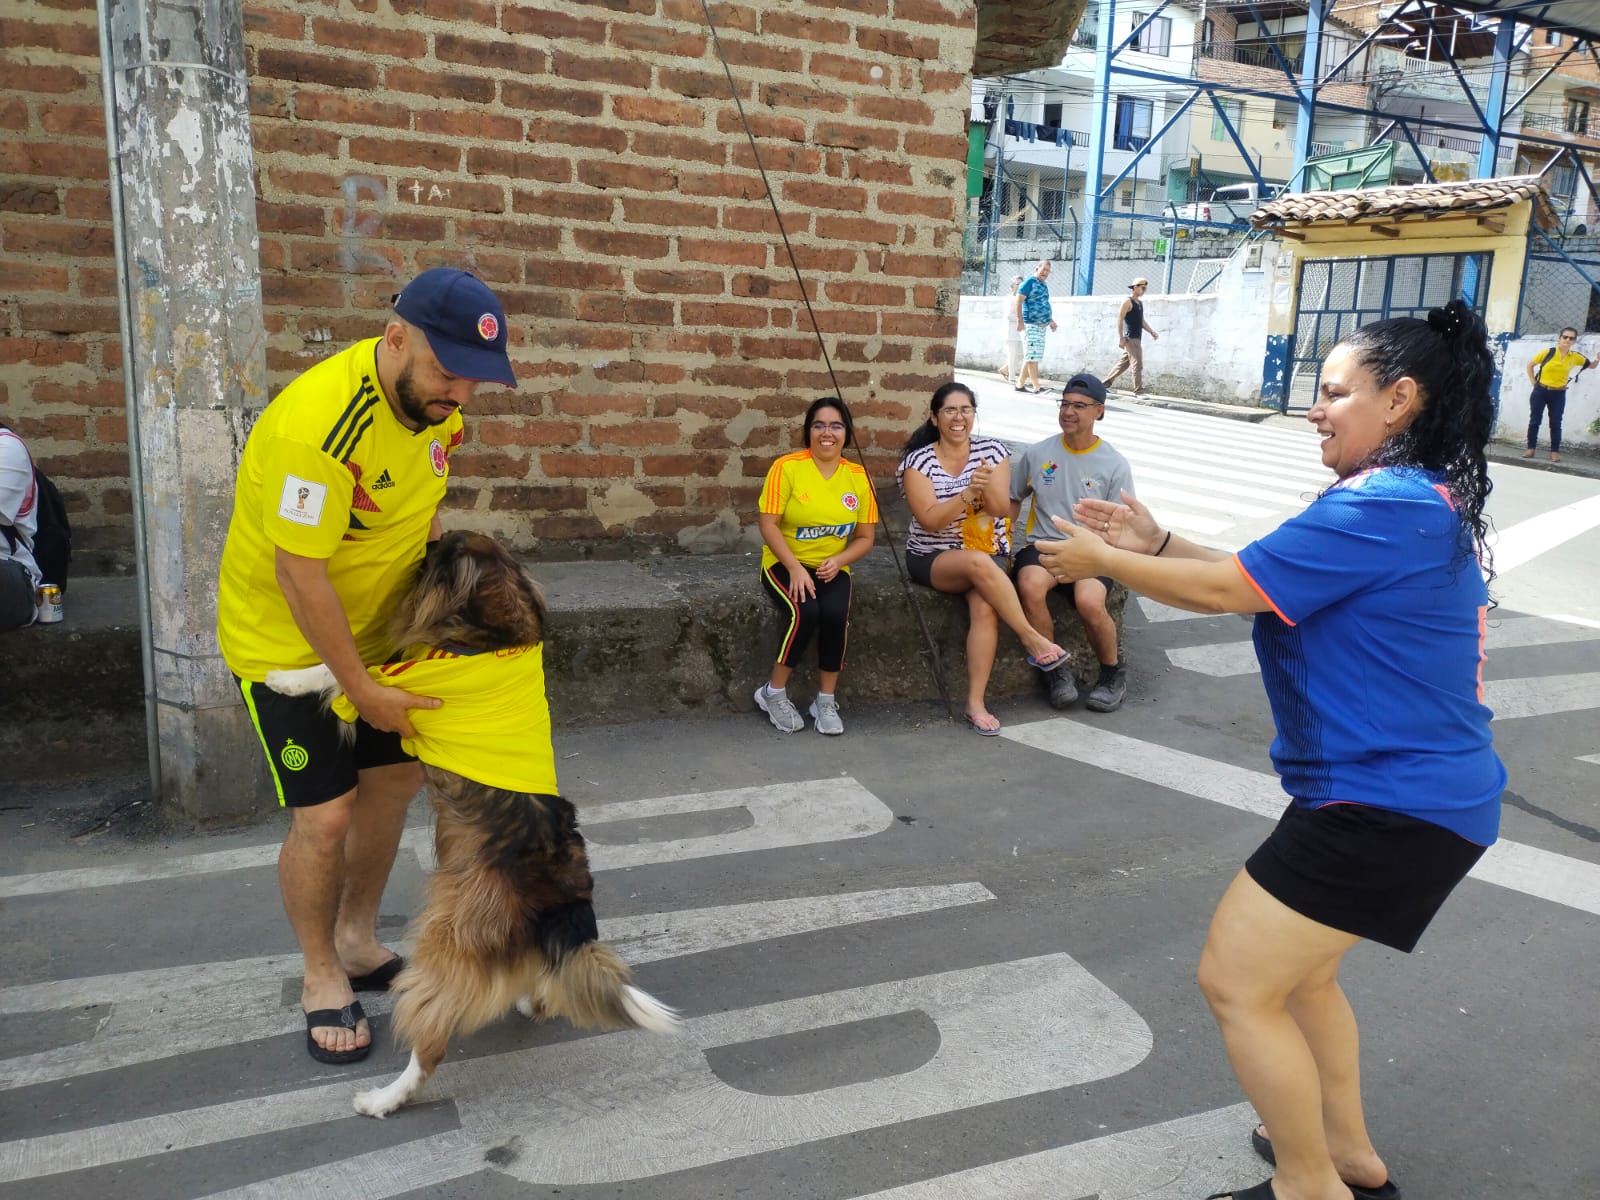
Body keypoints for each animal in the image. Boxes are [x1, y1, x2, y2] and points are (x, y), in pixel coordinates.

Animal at [265, 534, 678, 1120]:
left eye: (442, 549)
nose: (430, 538)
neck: (494, 634)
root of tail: (563, 901)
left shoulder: (394, 685)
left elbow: (343, 668)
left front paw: (285, 677)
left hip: (446, 945)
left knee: (430, 1041)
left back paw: (384, 1098)